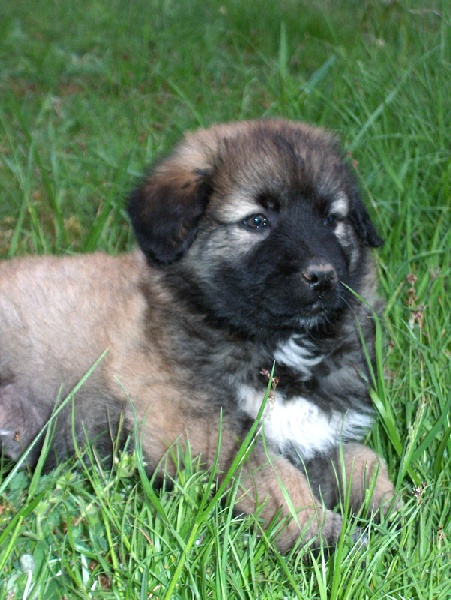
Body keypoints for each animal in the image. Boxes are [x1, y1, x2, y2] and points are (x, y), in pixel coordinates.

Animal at [0, 120, 396, 552]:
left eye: (331, 219)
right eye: (257, 221)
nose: (322, 276)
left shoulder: (311, 430)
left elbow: (361, 459)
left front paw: (393, 508)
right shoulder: (198, 426)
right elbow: (275, 475)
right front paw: (317, 531)